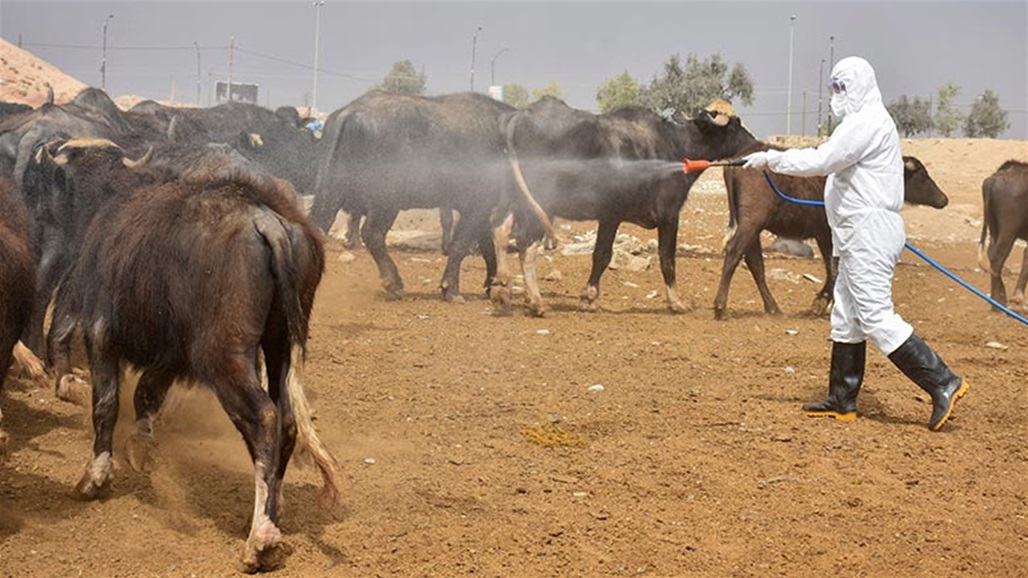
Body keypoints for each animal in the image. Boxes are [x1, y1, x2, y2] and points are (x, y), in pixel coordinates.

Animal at [30, 138, 337, 567]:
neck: (106, 203)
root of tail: (266, 221)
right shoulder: (172, 354)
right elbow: (147, 394)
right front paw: (140, 447)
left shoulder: (101, 334)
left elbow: (106, 405)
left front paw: (95, 476)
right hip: (280, 347)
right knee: (288, 420)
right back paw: (274, 512)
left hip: (225, 357)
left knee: (264, 417)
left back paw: (259, 537)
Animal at [715, 140, 945, 316]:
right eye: (922, 175)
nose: (944, 199)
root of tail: (738, 160)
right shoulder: (832, 234)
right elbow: (835, 268)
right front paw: (825, 303)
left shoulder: (824, 235)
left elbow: (831, 268)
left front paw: (821, 301)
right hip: (751, 221)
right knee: (735, 252)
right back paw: (720, 306)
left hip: (753, 227)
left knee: (754, 263)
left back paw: (773, 308)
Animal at [978, 159, 1028, 308]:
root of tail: (993, 179)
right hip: (1008, 230)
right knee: (997, 257)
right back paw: (999, 302)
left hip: (994, 227)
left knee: (991, 254)